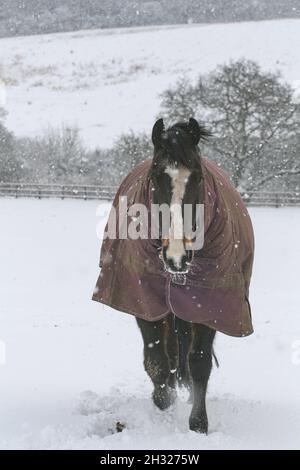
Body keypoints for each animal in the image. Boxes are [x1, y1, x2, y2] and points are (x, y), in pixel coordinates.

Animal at [92, 116, 254, 434]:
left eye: (199, 178)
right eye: (156, 178)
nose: (177, 256)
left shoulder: (209, 305)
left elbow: (199, 362)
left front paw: (198, 425)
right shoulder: (145, 302)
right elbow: (156, 360)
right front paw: (163, 407)